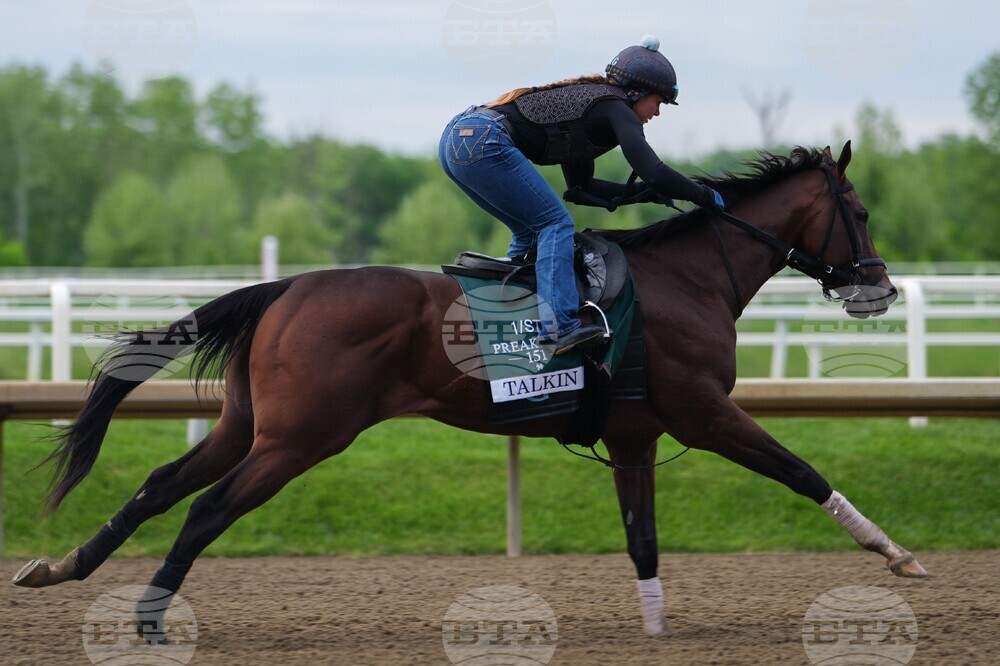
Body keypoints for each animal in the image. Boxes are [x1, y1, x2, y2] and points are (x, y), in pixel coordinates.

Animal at [13, 142, 927, 641]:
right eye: (860, 209)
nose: (879, 286)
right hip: (300, 438)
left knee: (159, 484)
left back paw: (62, 568)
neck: (690, 278)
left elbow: (643, 540)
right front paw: (897, 553)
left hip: (249, 426)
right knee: (207, 508)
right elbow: (801, 471)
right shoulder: (703, 412)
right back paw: (147, 618)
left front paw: (657, 627)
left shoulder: (635, 433)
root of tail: (285, 286)